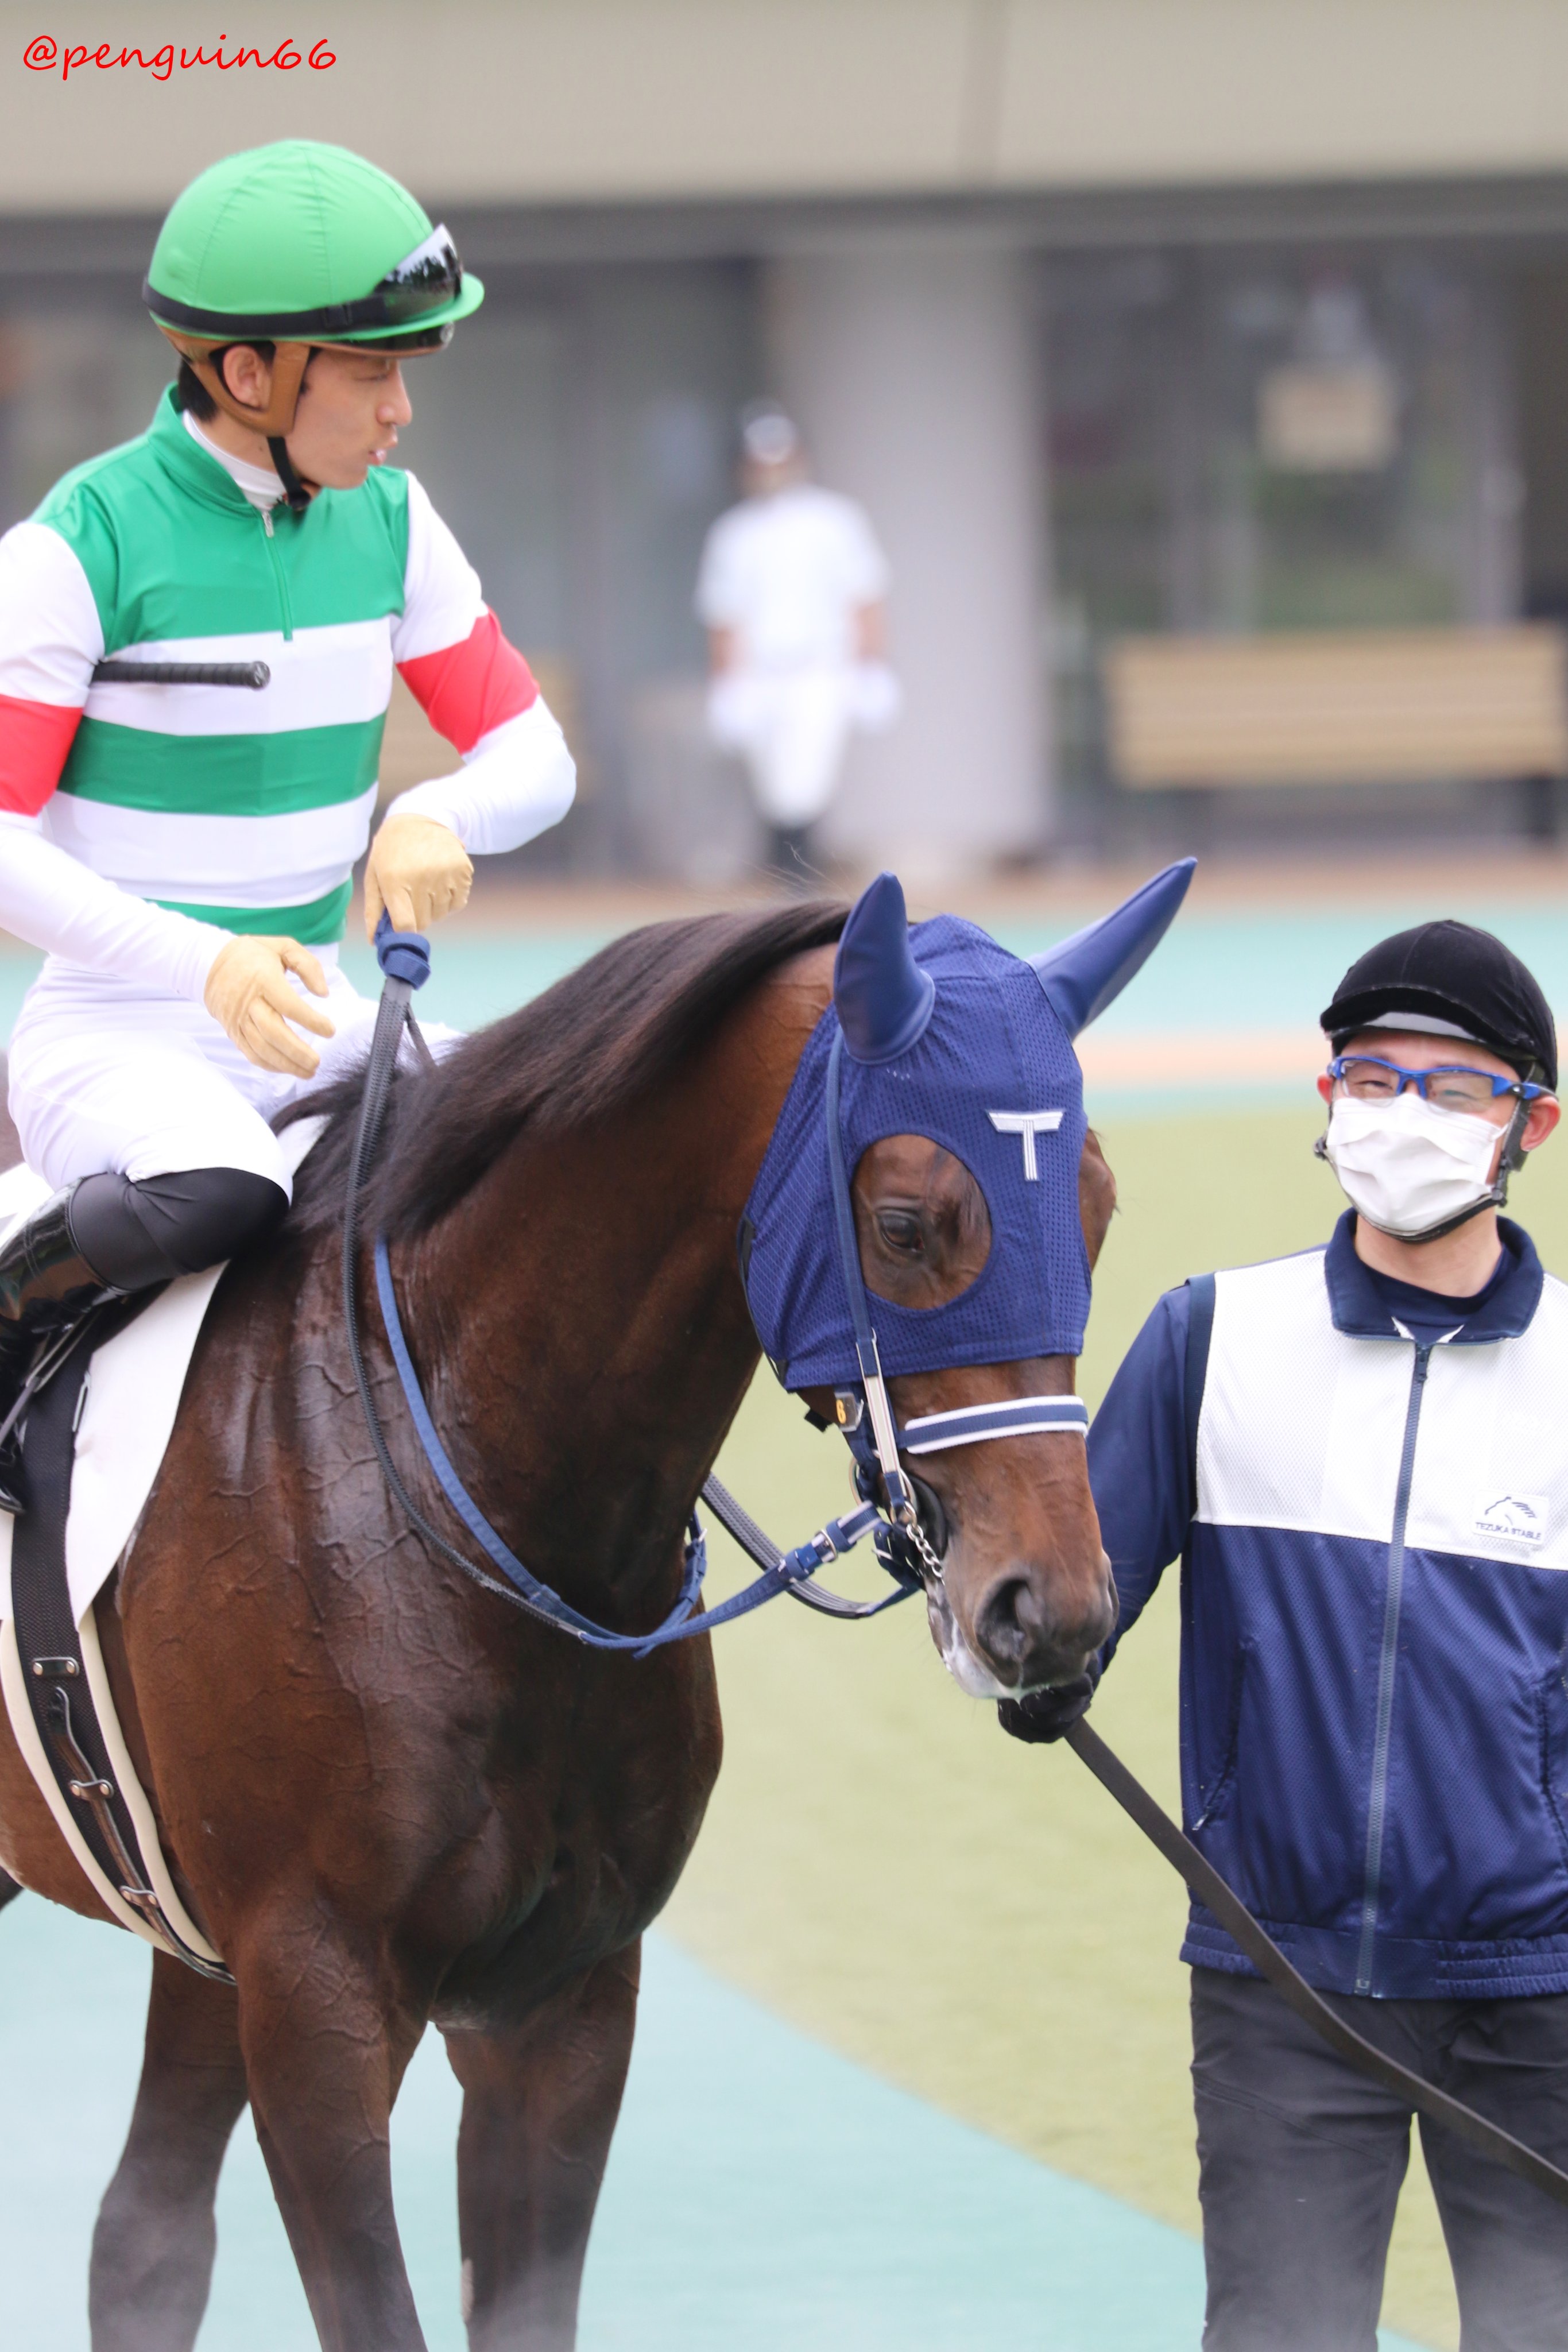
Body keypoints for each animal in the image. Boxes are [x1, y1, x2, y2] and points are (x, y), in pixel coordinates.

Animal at [0, 889, 1128, 2342]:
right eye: (906, 1222)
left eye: (1097, 1208)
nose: (1054, 1611)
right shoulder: (316, 1994)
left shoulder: (562, 1998)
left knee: (145, 2232)